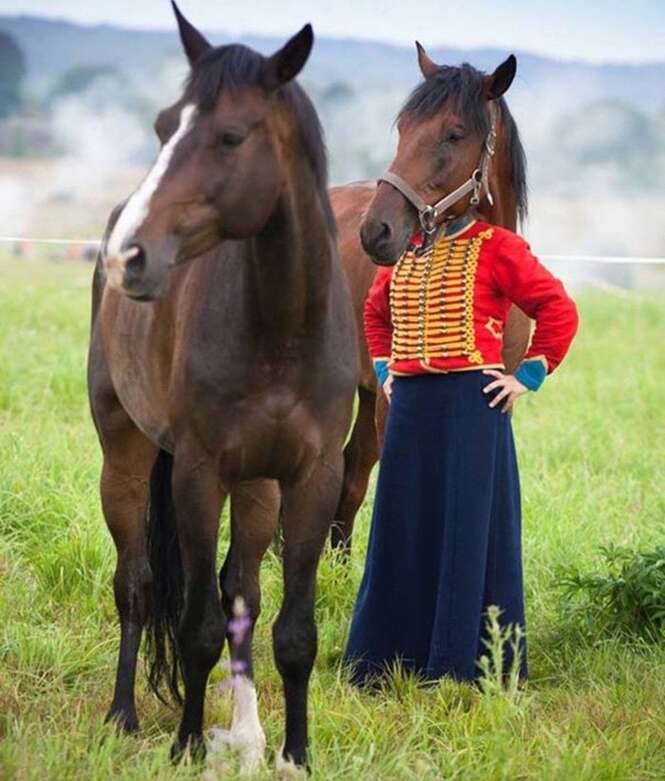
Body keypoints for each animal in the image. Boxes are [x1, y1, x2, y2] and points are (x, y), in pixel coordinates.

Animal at [89, 3, 358, 772]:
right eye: (162, 126)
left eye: (231, 135)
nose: (128, 255)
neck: (280, 328)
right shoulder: (198, 474)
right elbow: (198, 626)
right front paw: (185, 742)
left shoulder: (312, 478)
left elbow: (290, 629)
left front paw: (293, 752)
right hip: (126, 456)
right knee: (138, 585)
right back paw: (123, 713)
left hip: (258, 486)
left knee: (243, 592)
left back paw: (247, 733)